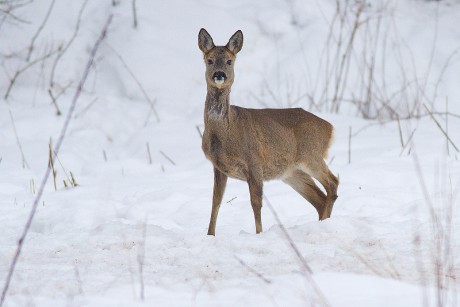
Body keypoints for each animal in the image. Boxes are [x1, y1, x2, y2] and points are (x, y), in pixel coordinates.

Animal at [198, 28, 338, 236]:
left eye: (230, 61)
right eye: (210, 60)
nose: (219, 74)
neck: (226, 133)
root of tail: (330, 128)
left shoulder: (255, 161)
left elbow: (256, 203)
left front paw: (259, 234)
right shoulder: (219, 167)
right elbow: (216, 202)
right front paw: (210, 235)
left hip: (311, 154)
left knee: (333, 182)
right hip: (292, 172)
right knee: (320, 198)